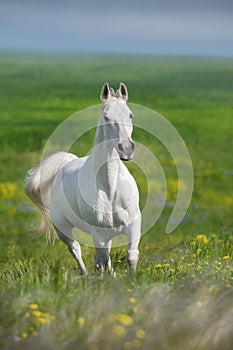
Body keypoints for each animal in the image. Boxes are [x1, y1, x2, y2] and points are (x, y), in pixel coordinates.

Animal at [25, 82, 142, 276]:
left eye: (130, 114)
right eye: (106, 117)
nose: (126, 149)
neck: (110, 189)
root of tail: (66, 163)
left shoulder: (133, 224)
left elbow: (131, 255)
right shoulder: (98, 233)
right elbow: (102, 259)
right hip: (63, 229)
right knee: (76, 249)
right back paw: (85, 274)